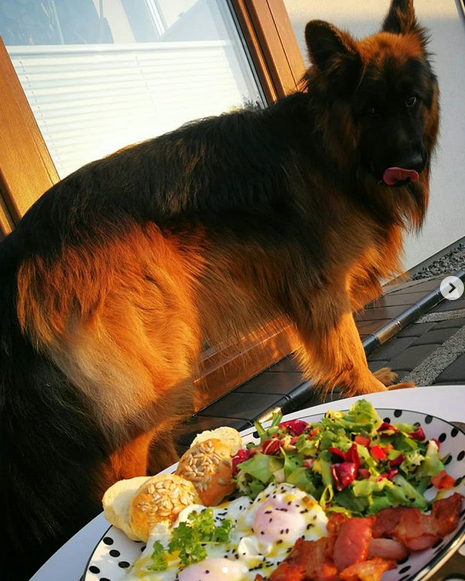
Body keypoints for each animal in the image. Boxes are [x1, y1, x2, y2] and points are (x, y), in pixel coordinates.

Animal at [0, 0, 436, 576]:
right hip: (156, 367)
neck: (325, 149)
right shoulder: (322, 289)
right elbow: (347, 348)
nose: (411, 162)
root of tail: (21, 247)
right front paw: (373, 392)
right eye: (369, 110)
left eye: (412, 100)